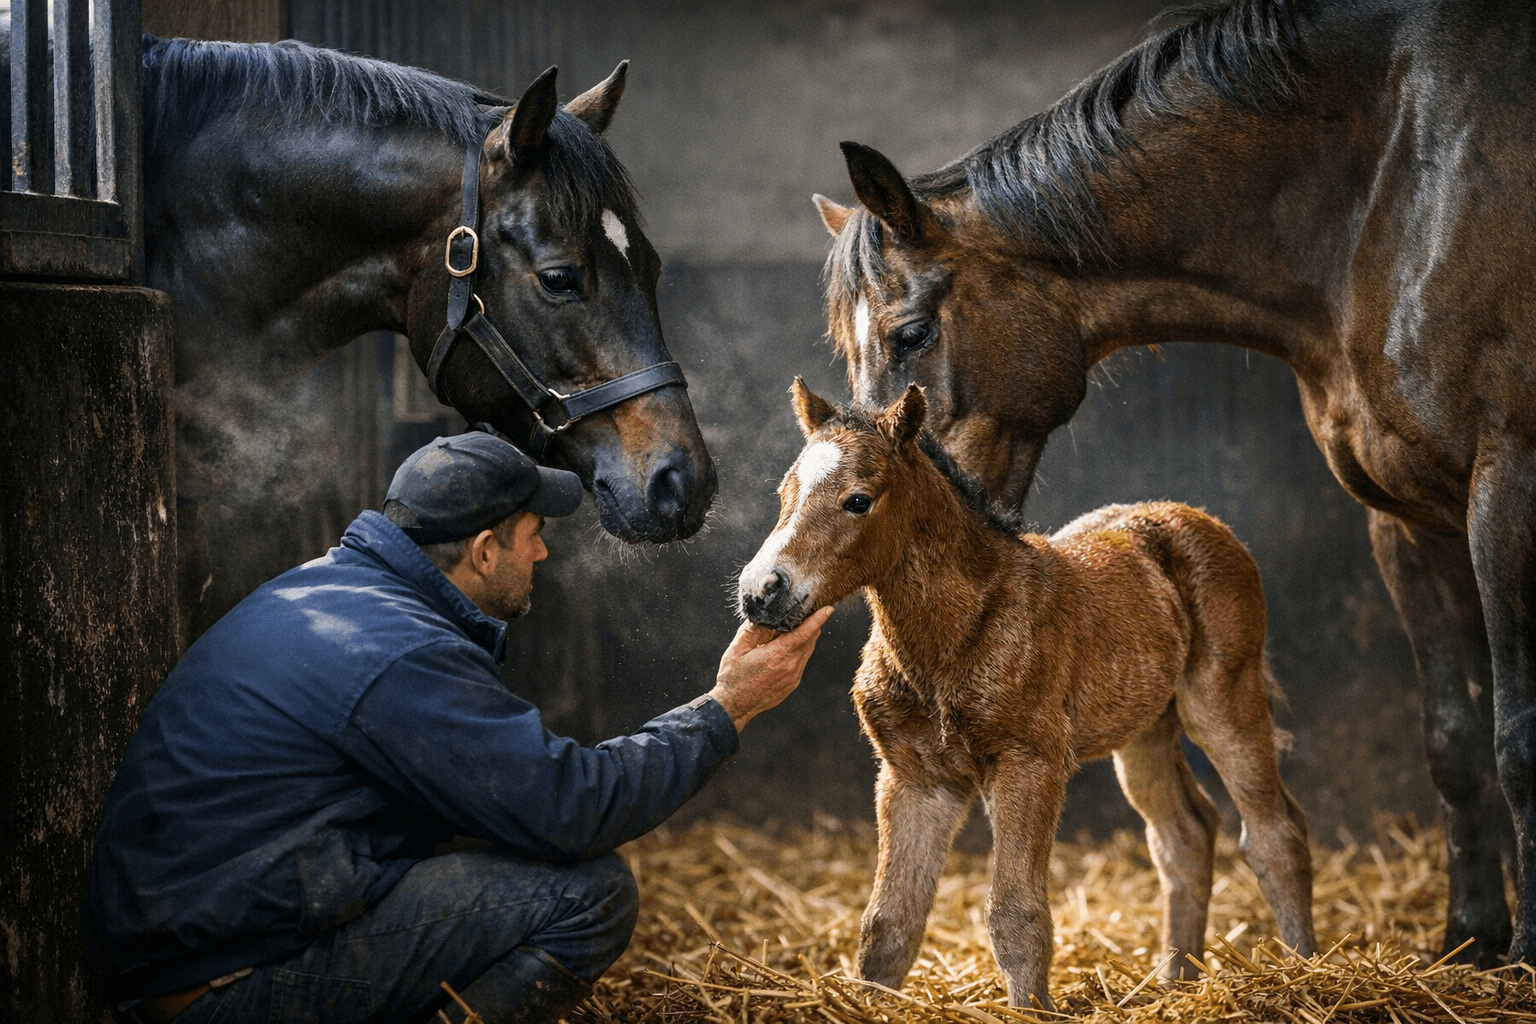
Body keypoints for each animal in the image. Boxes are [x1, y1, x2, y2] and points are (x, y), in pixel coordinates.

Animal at [736, 378, 1315, 1008]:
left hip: (1223, 698)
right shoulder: (913, 777)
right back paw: (1174, 985)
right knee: (1184, 835)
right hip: (1144, 728)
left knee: (1274, 833)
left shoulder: (1027, 761)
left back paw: (1304, 971)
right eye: (785, 492)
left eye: (858, 500)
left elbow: (1015, 917)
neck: (947, 639)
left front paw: (1031, 1009)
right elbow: (888, 922)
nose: (762, 591)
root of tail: (1195, 517)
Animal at [811, 0, 1535, 968]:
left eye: (913, 332)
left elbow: (1518, 736)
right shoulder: (1407, 517)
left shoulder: (1506, 488)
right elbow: (1454, 739)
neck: (1392, 192)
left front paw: (1524, 949)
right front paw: (1470, 937)